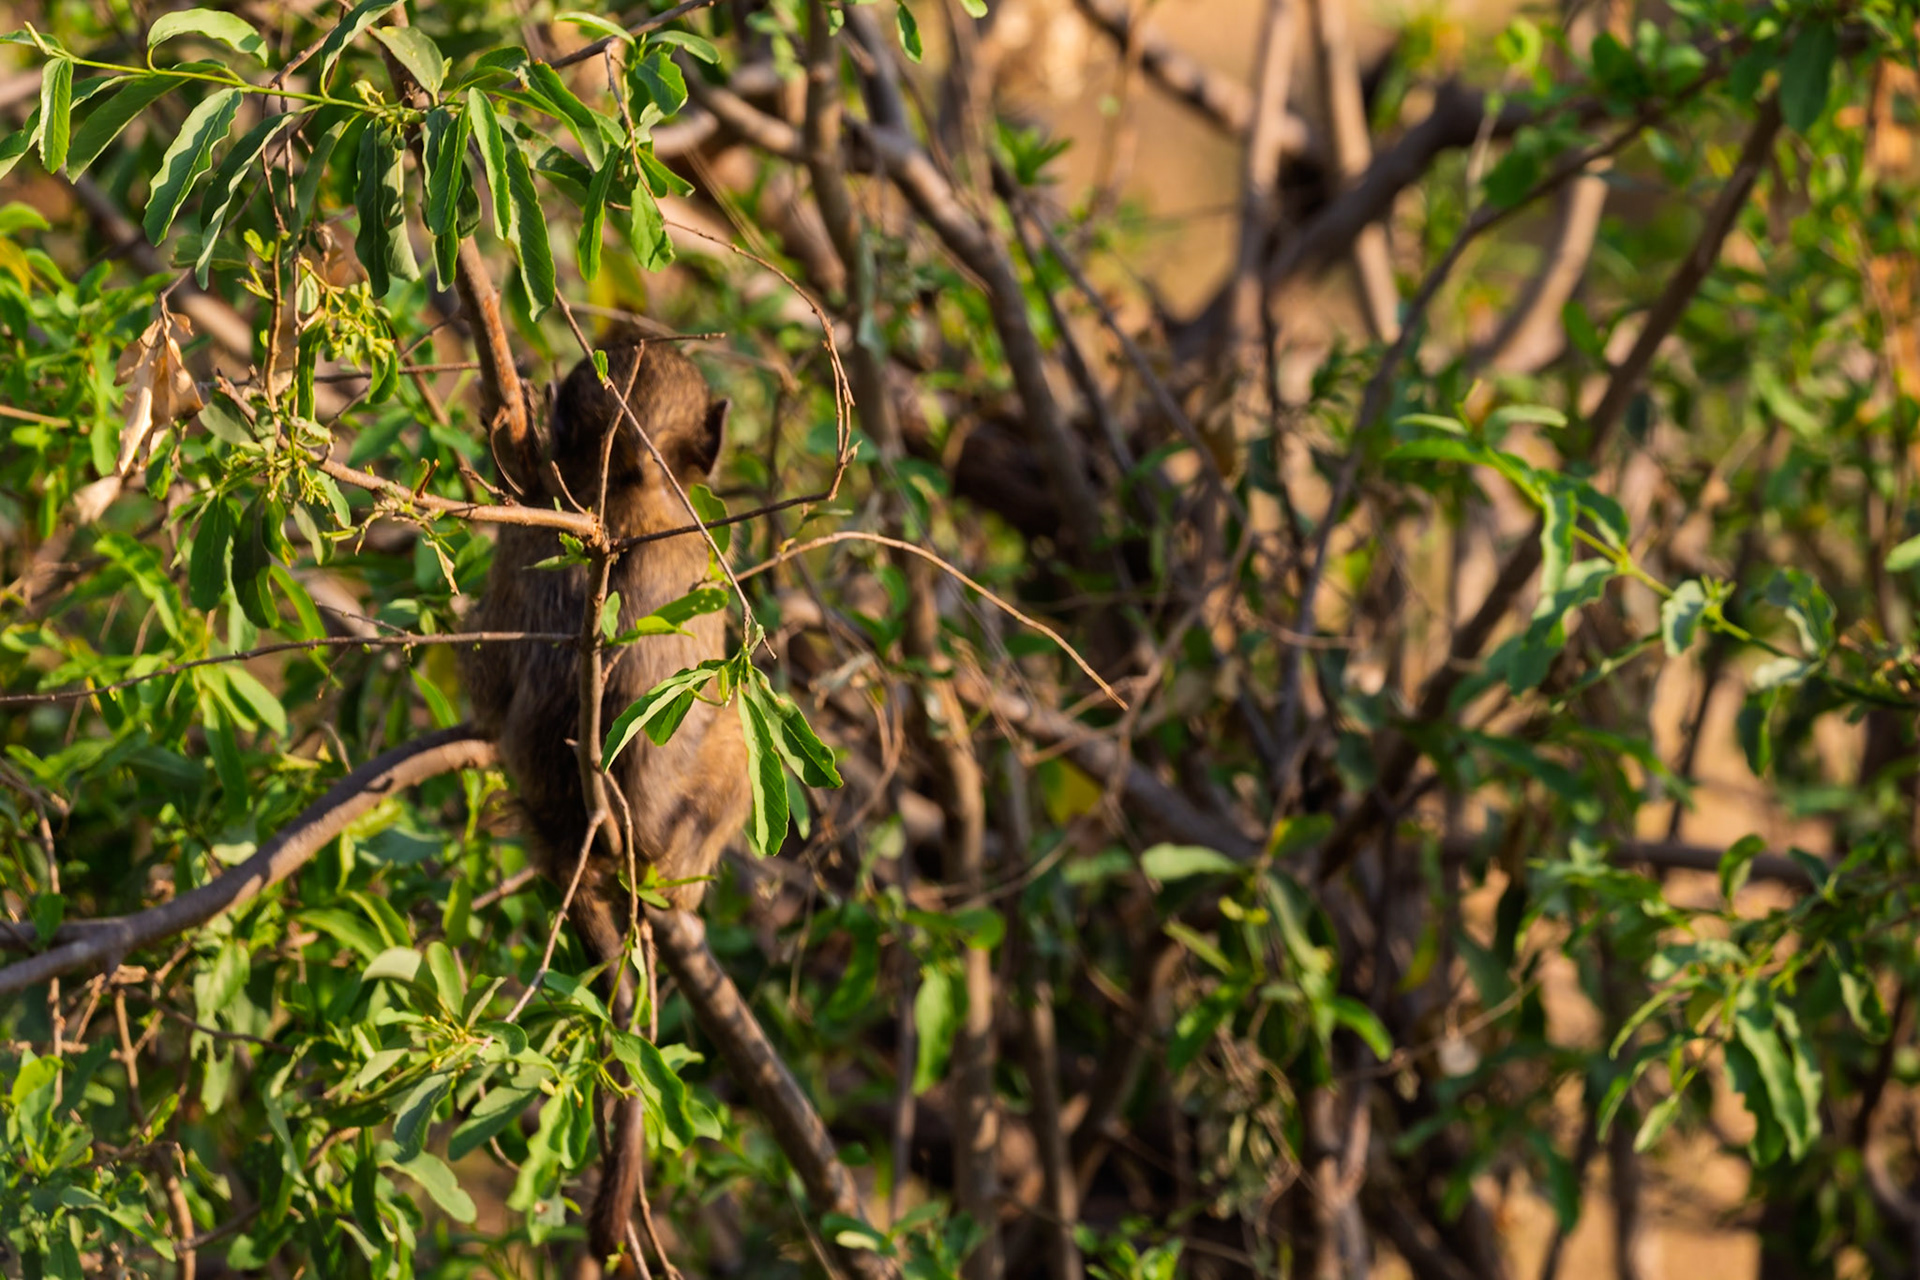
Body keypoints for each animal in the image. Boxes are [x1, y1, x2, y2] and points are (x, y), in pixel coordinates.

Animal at [463, 340, 749, 1278]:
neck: (617, 486)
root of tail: (575, 841)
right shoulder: (691, 548)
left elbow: (488, 677)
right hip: (680, 829)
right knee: (736, 731)